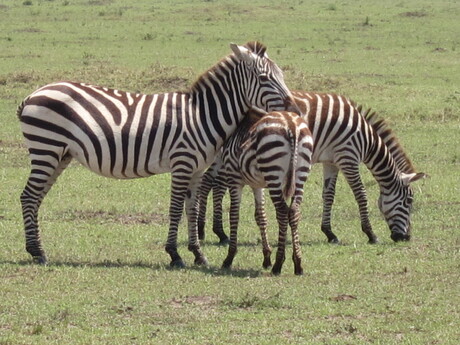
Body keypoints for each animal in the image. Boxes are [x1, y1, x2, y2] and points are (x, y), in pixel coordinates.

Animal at [16, 41, 298, 266]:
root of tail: (33, 94)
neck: (202, 115)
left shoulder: (197, 168)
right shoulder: (182, 163)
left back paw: (36, 249)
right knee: (28, 196)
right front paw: (175, 254)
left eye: (282, 75)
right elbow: (175, 208)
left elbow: (192, 209)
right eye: (264, 78)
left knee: (36, 197)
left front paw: (198, 254)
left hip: (59, 154)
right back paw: (37, 252)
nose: (294, 110)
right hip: (46, 147)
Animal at [197, 88, 424, 245]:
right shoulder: (348, 156)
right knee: (214, 183)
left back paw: (209, 232)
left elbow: (329, 195)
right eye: (409, 201)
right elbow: (361, 194)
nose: (406, 237)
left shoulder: (331, 162)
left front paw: (329, 233)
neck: (365, 137)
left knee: (208, 182)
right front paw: (370, 233)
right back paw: (216, 232)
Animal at [214, 107, 314, 274]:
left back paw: (278, 264)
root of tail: (291, 124)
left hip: (273, 172)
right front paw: (266, 257)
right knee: (294, 211)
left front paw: (229, 258)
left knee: (282, 212)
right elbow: (261, 216)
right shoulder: (257, 184)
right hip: (300, 174)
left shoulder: (234, 179)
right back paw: (298, 263)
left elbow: (234, 215)